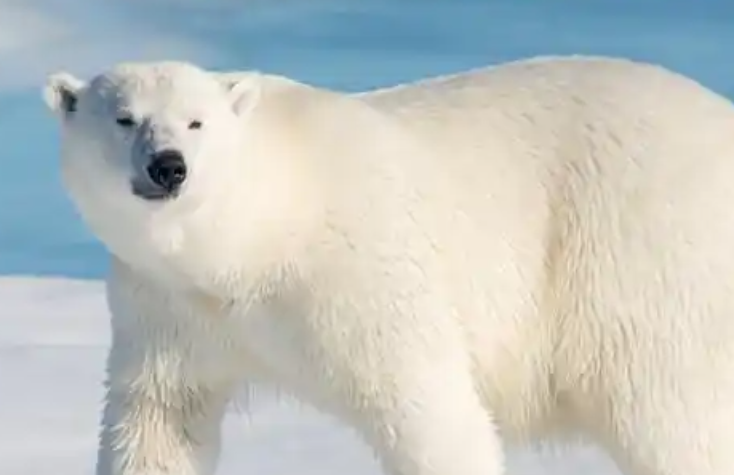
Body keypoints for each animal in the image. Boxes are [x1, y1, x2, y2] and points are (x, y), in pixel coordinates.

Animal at [43, 55, 734, 475]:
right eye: (124, 118)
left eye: (196, 121)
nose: (168, 166)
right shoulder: (167, 307)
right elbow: (160, 421)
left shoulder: (362, 275)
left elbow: (430, 410)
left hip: (639, 258)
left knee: (669, 415)